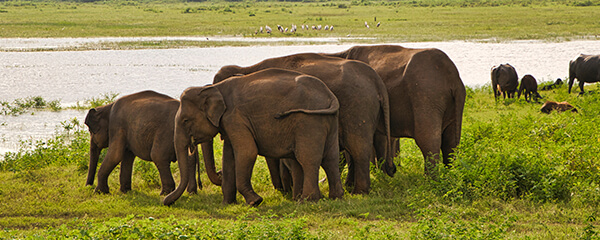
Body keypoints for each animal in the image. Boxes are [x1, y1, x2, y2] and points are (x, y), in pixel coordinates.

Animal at [81, 90, 218, 195]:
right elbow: (127, 156)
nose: (88, 186)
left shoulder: (117, 125)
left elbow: (115, 155)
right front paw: (125, 191)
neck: (108, 106)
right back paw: (191, 192)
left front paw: (100, 192)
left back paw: (165, 193)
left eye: (90, 131)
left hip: (167, 133)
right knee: (189, 159)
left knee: (158, 156)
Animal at [162, 68, 344, 206]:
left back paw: (307, 201)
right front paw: (228, 203)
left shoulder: (234, 117)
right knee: (331, 157)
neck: (214, 87)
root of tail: (330, 95)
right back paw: (336, 198)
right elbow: (229, 157)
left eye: (186, 120)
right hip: (329, 120)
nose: (166, 202)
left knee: (307, 159)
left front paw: (255, 202)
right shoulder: (229, 123)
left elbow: (247, 152)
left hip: (309, 121)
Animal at [209, 53, 396, 195]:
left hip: (358, 107)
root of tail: (376, 79)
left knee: (358, 148)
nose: (219, 173)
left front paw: (285, 191)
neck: (246, 70)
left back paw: (358, 192)